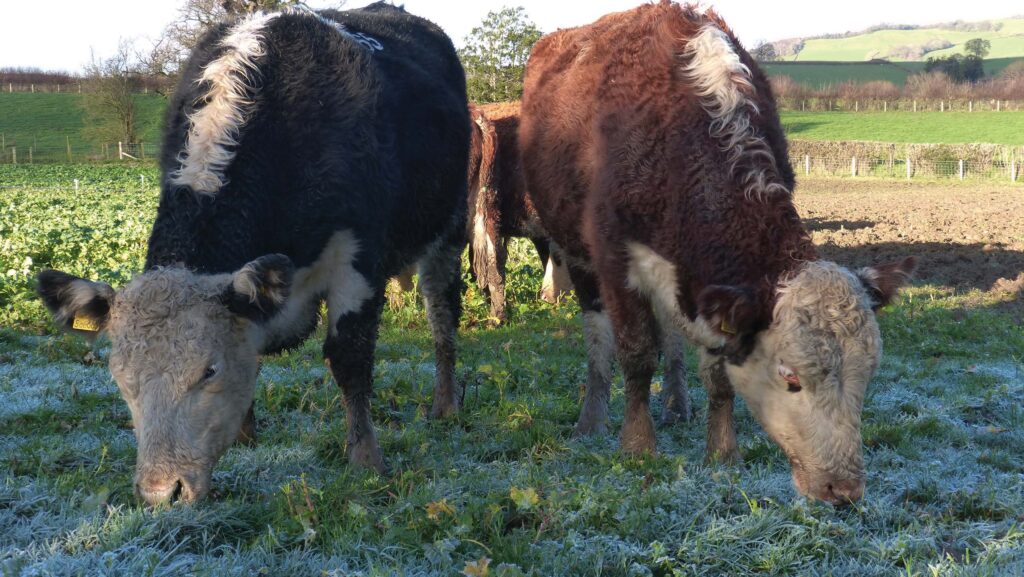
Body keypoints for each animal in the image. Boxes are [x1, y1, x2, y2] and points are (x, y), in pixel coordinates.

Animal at [37, 2, 468, 506]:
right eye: (121, 376)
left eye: (209, 371)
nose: (162, 492)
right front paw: (245, 435)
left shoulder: (358, 261)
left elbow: (350, 359)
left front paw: (366, 459)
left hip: (449, 230)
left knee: (442, 315)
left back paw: (446, 404)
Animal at [520, 2, 913, 504]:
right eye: (791, 377)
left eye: (868, 373)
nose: (843, 489)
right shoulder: (615, 259)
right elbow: (635, 353)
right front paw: (637, 445)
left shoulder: (712, 285)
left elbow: (719, 373)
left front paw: (723, 452)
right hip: (573, 251)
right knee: (598, 334)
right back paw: (592, 418)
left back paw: (676, 404)